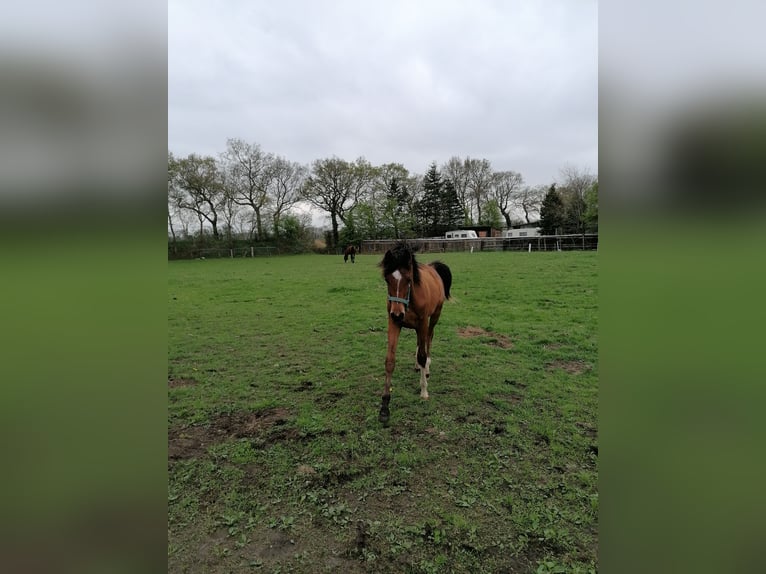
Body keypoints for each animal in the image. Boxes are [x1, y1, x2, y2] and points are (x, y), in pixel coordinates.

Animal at [378, 241, 452, 423]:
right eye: (387, 280)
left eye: (409, 279)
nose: (398, 314)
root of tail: (432, 267)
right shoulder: (394, 323)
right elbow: (390, 361)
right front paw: (384, 406)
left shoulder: (423, 322)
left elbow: (423, 354)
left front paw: (424, 391)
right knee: (420, 342)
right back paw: (419, 367)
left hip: (435, 316)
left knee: (429, 339)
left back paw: (426, 369)